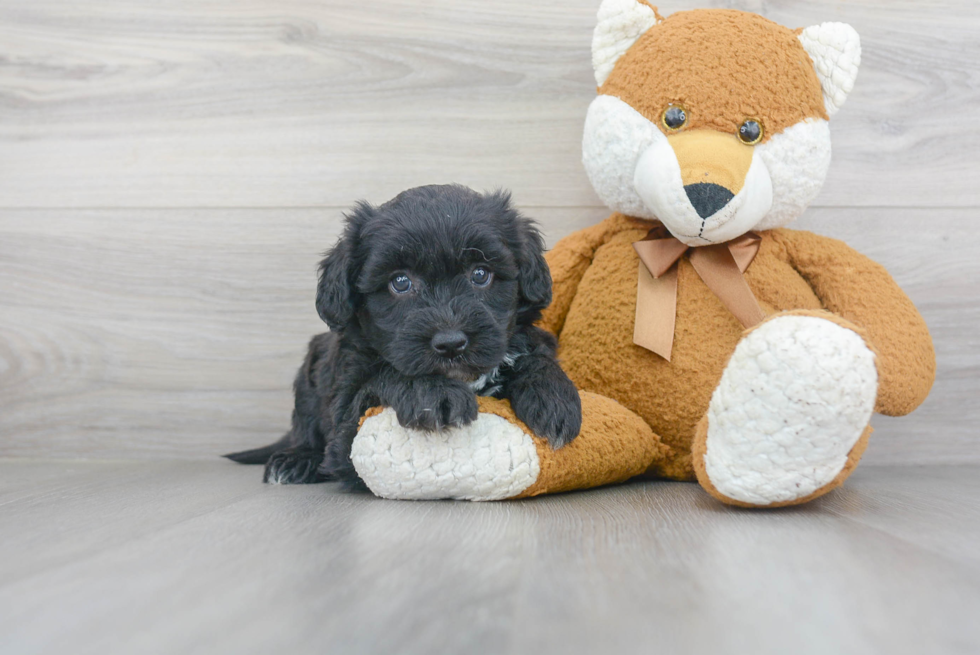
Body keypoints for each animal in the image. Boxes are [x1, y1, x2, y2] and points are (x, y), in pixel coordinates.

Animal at [226, 184, 580, 486]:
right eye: (400, 282)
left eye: (481, 274)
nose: (451, 344)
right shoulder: (346, 423)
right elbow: (386, 376)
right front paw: (433, 393)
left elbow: (534, 356)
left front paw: (554, 397)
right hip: (308, 378)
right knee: (304, 429)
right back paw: (295, 460)